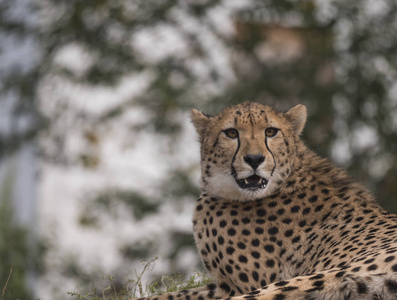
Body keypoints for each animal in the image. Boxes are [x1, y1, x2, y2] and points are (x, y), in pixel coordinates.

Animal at [135, 102, 396, 300]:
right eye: (231, 133)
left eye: (270, 131)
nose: (254, 158)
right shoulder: (220, 286)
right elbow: (170, 294)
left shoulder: (234, 287)